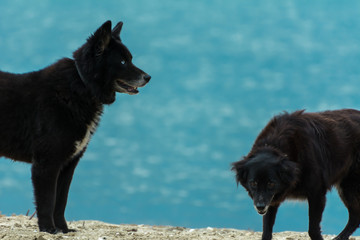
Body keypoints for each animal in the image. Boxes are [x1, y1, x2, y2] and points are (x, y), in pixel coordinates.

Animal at [0, 21, 150, 234]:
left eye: (130, 59)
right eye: (122, 62)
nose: (148, 77)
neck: (81, 85)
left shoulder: (68, 164)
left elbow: (60, 202)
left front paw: (63, 229)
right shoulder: (46, 164)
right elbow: (47, 201)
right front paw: (48, 229)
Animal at [232, 109, 360, 240]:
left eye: (271, 183)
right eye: (253, 183)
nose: (260, 206)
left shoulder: (317, 193)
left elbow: (313, 230)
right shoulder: (272, 200)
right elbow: (266, 231)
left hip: (349, 187)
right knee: (355, 217)